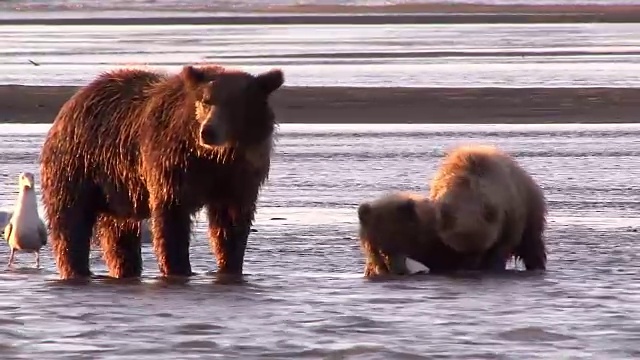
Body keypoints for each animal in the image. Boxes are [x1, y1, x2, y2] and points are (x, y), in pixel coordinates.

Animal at [38, 63, 282, 280]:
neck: (213, 156)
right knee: (71, 222)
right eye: (206, 101)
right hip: (80, 165)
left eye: (234, 103)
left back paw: (125, 270)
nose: (208, 131)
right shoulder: (172, 164)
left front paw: (230, 266)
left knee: (117, 234)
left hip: (116, 188)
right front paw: (178, 268)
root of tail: (73, 101)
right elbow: (172, 217)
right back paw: (77, 270)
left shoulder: (238, 176)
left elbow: (230, 224)